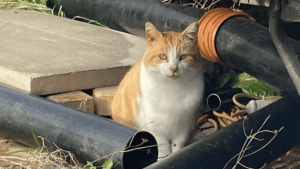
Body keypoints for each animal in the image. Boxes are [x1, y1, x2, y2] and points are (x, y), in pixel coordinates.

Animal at [111, 21, 205, 158]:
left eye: (183, 56)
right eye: (163, 56)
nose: (173, 68)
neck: (172, 89)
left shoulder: (184, 125)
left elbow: (178, 147)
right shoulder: (153, 124)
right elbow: (162, 146)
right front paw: (162, 158)